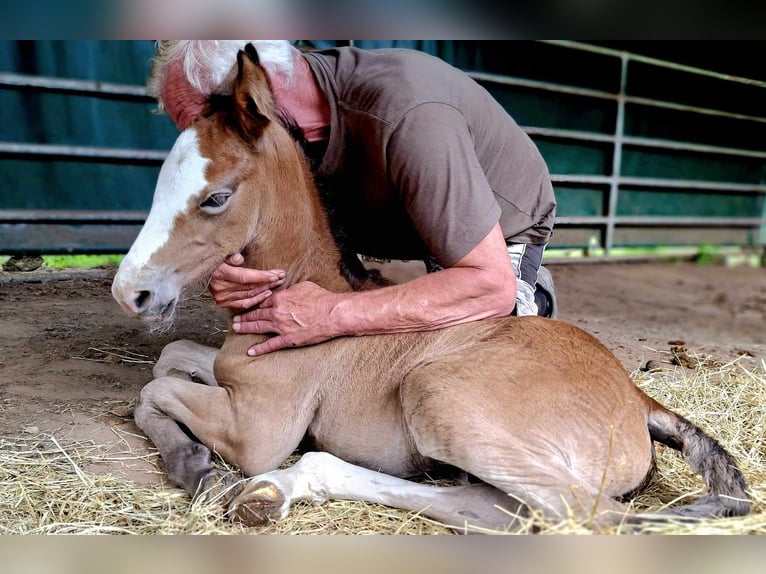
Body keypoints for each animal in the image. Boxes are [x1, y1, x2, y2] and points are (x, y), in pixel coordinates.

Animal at [112, 46, 752, 536]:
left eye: (216, 197)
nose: (130, 292)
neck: (305, 289)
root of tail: (640, 399)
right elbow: (167, 363)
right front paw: (197, 462)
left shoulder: (258, 429)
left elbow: (156, 388)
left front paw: (200, 469)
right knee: (490, 507)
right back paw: (277, 490)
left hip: (439, 395)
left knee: (589, 517)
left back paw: (267, 487)